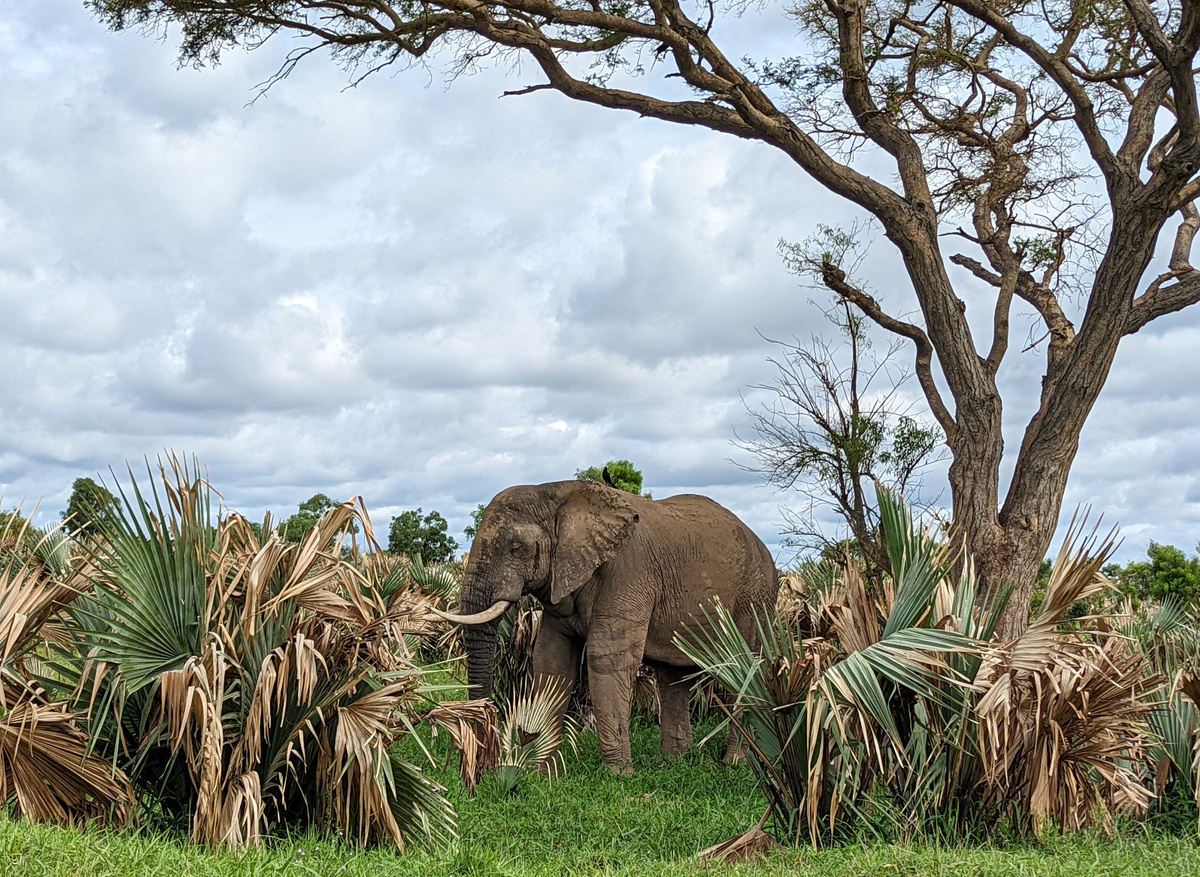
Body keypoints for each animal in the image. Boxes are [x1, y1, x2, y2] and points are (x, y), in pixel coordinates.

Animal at [435, 479, 777, 774]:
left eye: (516, 549)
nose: (484, 764)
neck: (555, 491)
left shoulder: (629, 571)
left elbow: (606, 658)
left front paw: (619, 775)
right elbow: (552, 660)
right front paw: (538, 772)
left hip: (756, 596)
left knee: (744, 667)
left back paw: (735, 763)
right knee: (673, 676)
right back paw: (676, 761)